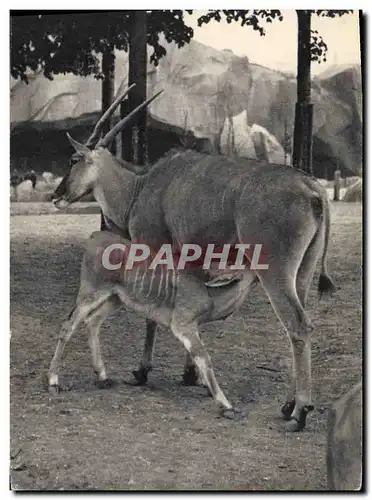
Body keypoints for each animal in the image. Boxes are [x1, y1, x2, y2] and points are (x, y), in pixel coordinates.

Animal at [48, 83, 336, 430]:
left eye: (74, 158)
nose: (56, 196)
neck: (140, 186)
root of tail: (311, 187)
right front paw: (191, 375)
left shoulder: (153, 247)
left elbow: (151, 313)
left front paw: (143, 371)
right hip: (302, 273)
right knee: (300, 326)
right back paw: (289, 403)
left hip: (275, 272)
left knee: (297, 324)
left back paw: (299, 412)